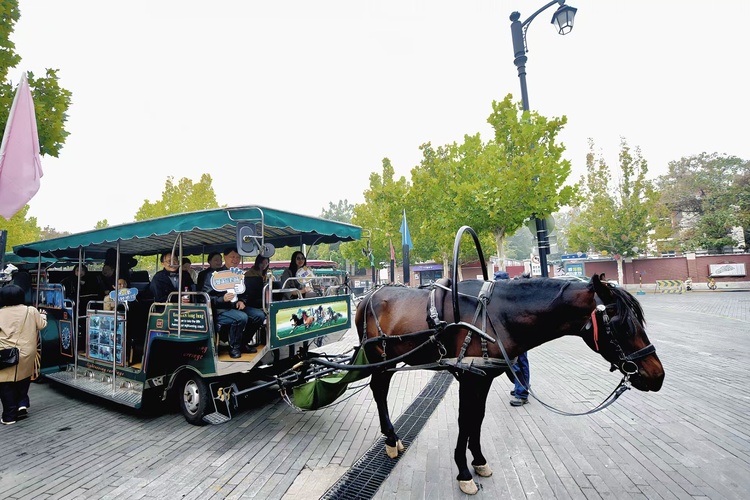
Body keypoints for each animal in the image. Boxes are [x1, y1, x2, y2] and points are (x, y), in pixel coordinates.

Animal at [356, 276, 668, 494]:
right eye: (620, 324)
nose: (657, 375)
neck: (495, 316)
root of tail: (367, 295)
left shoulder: (483, 379)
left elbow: (477, 419)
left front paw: (478, 461)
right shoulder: (469, 378)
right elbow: (464, 420)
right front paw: (463, 472)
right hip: (379, 359)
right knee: (379, 391)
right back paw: (391, 439)